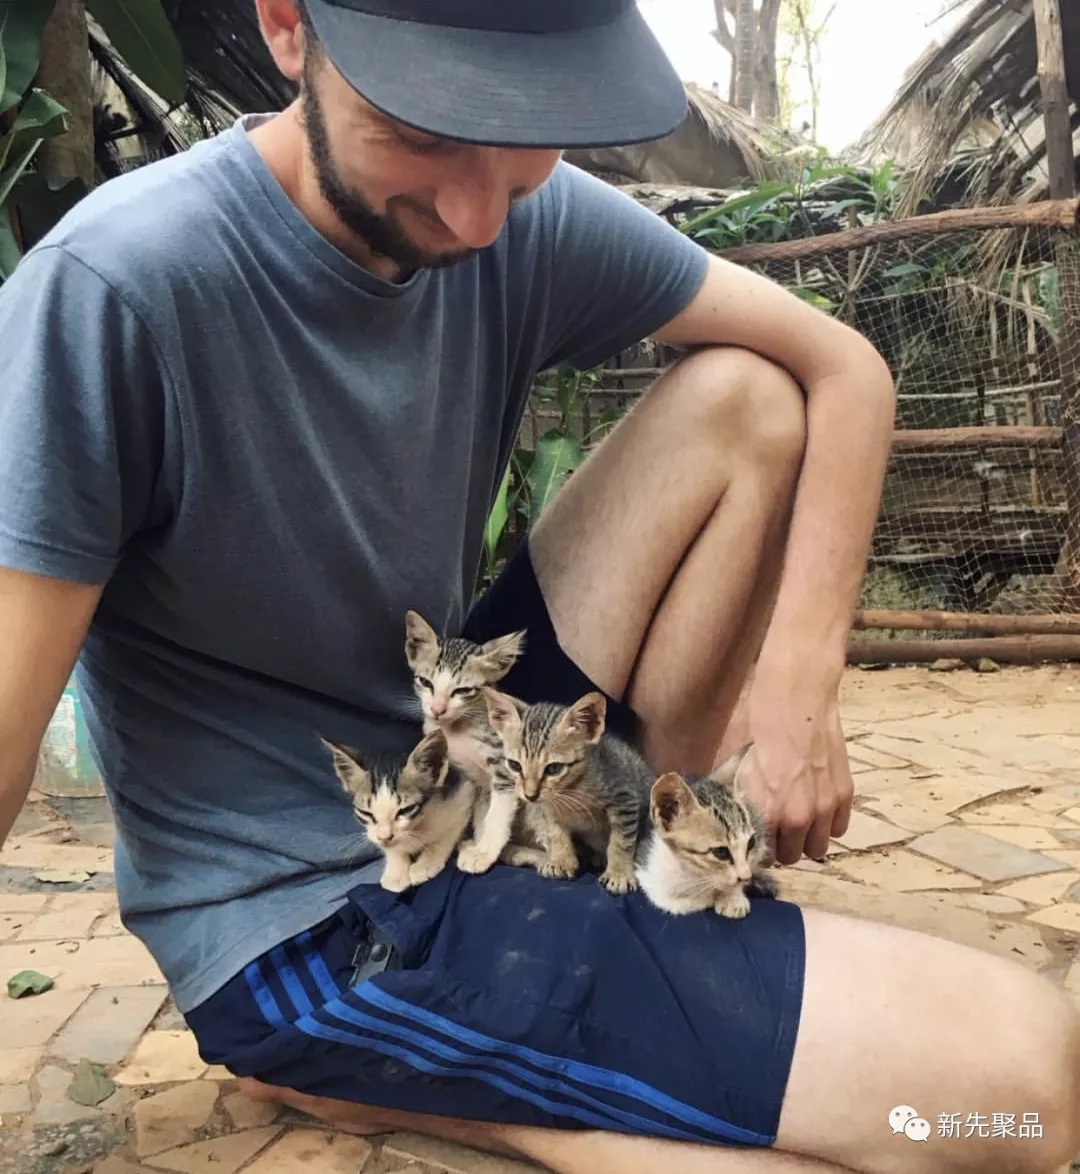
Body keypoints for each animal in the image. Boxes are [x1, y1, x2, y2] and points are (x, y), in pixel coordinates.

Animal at [323, 727, 476, 893]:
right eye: (366, 813)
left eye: (406, 810)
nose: (385, 837)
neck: (418, 824)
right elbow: (392, 847)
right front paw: (395, 872)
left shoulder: (462, 794)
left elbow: (446, 834)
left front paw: (425, 864)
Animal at [403, 609, 527, 876]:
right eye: (426, 682)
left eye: (463, 690)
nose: (437, 709)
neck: (457, 731)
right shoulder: (468, 777)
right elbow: (475, 812)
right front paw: (474, 846)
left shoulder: (506, 770)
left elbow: (496, 815)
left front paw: (485, 853)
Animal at [482, 688, 654, 894]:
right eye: (515, 765)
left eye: (553, 768)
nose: (530, 795)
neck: (571, 789)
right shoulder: (548, 809)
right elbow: (556, 833)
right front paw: (561, 861)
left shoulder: (624, 798)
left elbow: (621, 841)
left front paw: (618, 873)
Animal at [635, 743, 778, 919]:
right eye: (721, 852)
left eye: (751, 843)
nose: (746, 877)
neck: (694, 875)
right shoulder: (648, 873)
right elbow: (673, 901)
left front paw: (732, 898)